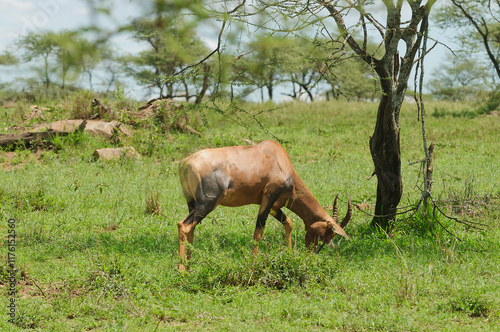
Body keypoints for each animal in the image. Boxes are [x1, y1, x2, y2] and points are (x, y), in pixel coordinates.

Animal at [176, 140, 352, 270]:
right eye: (325, 234)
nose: (310, 256)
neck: (278, 158)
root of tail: (185, 163)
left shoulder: (274, 206)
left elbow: (288, 223)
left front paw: (289, 256)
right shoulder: (269, 197)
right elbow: (258, 232)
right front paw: (254, 265)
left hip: (192, 203)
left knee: (191, 229)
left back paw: (189, 267)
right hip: (207, 203)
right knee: (183, 225)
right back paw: (182, 270)